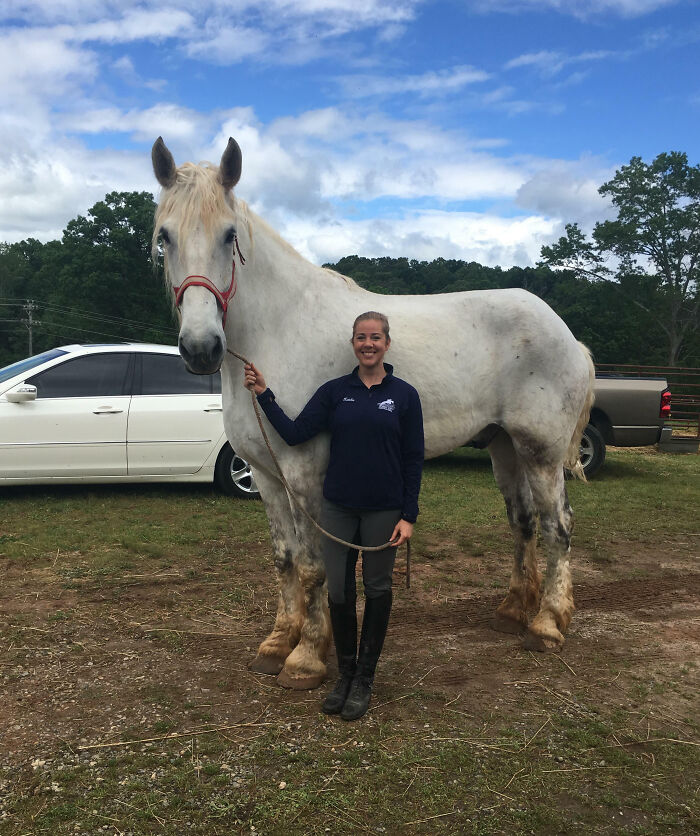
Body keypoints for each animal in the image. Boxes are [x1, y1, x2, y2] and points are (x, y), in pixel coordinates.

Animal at [151, 136, 595, 690]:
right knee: (524, 521)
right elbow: (284, 560)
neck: (278, 330)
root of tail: (565, 333)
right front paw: (277, 642)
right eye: (164, 237)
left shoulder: (304, 473)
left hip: (541, 452)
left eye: (229, 235)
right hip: (504, 447)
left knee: (558, 525)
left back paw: (547, 624)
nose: (201, 347)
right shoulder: (266, 475)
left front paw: (306, 657)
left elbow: (314, 565)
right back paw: (514, 609)